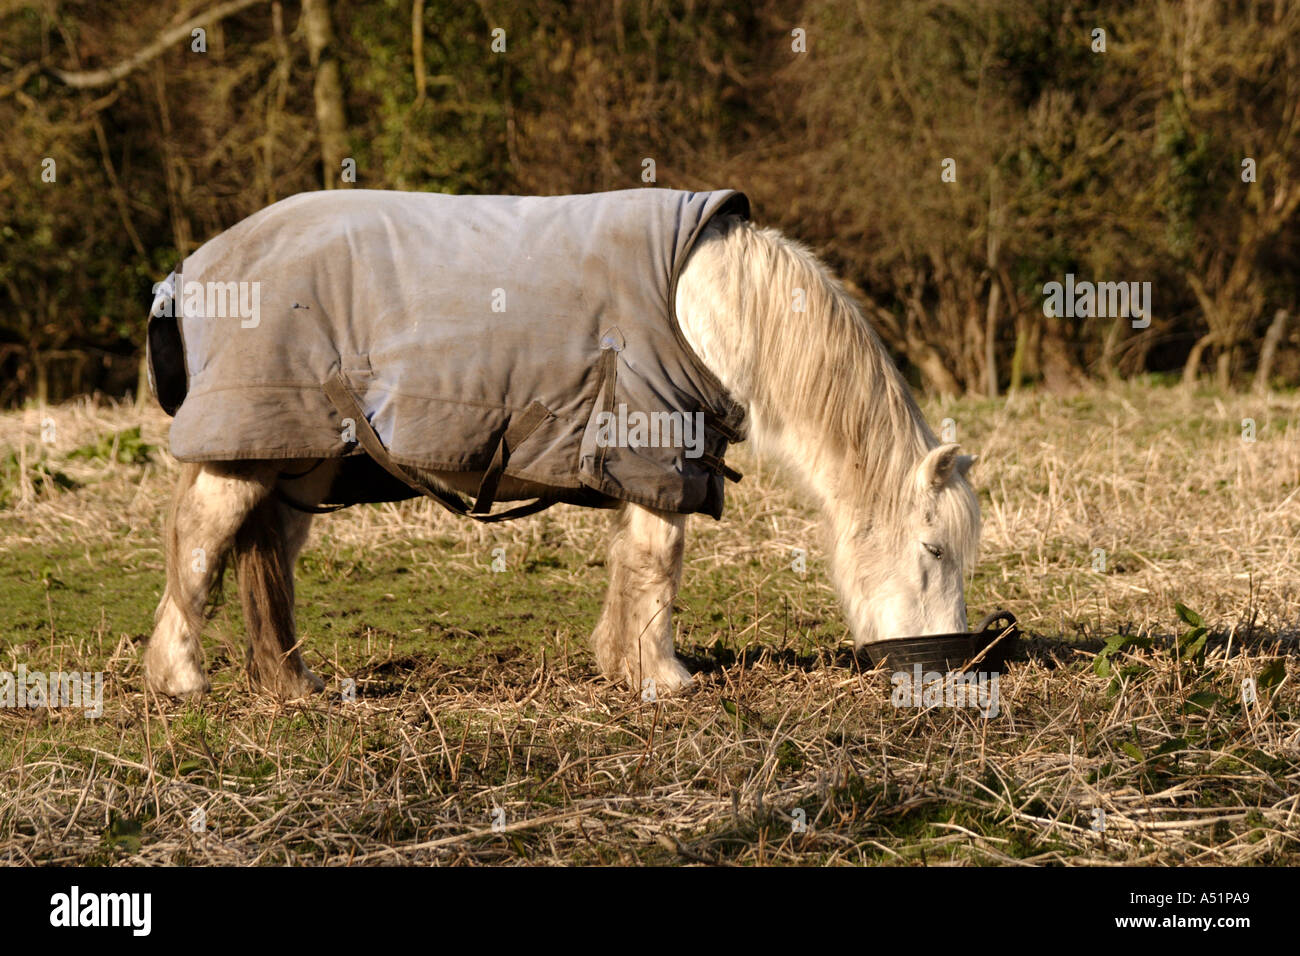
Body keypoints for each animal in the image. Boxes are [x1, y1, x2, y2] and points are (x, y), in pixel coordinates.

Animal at [142, 204, 980, 699]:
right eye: (932, 550)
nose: (944, 664)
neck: (714, 309)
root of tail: (194, 269)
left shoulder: (651, 459)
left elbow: (635, 562)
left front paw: (625, 662)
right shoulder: (656, 446)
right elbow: (658, 563)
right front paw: (664, 677)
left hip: (299, 458)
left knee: (271, 559)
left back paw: (295, 683)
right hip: (245, 451)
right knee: (199, 544)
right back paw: (178, 678)